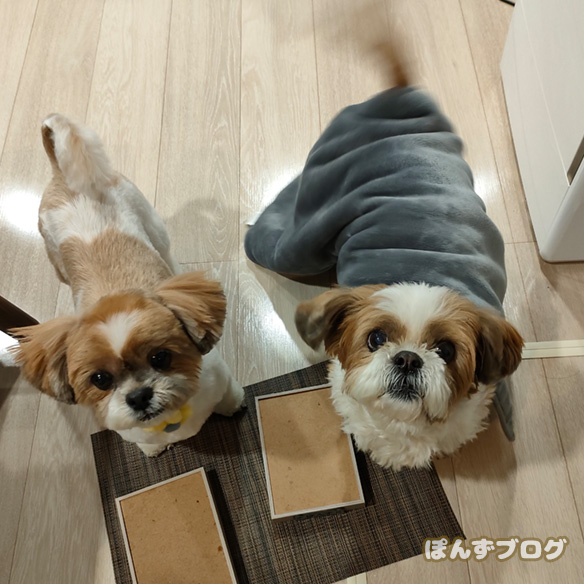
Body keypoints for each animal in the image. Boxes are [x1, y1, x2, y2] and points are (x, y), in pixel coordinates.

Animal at [10, 114, 244, 456]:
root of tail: (61, 175)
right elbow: (144, 441)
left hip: (152, 222)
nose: (138, 395)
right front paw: (152, 450)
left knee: (165, 249)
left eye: (161, 358)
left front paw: (234, 405)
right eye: (100, 379)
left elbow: (229, 396)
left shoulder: (221, 378)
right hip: (54, 255)